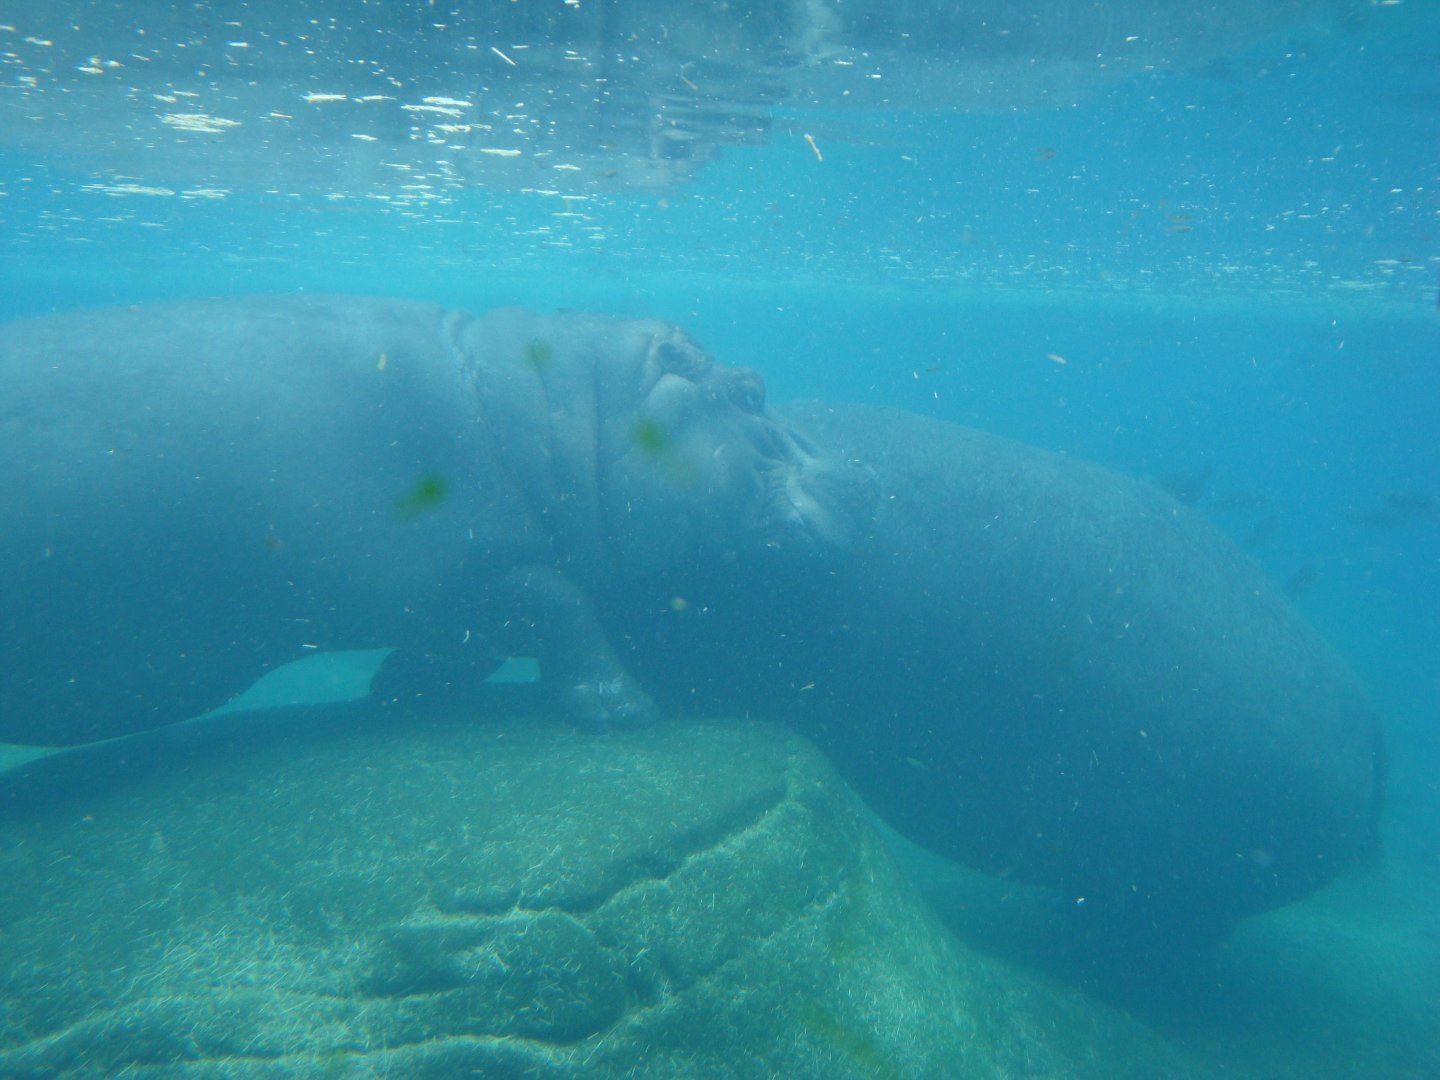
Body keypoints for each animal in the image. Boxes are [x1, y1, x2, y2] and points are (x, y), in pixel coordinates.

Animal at [0, 296, 868, 744]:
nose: (859, 476)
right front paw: (627, 710)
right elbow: (565, 607)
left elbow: (466, 645)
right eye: (751, 391)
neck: (560, 411)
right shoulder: (491, 564)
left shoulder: (457, 596)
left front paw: (394, 692)